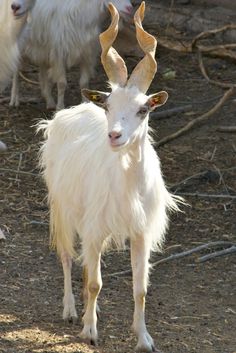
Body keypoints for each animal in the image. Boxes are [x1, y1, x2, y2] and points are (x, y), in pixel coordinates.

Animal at [38, 2, 180, 350]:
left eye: (144, 108)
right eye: (108, 104)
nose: (114, 136)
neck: (128, 187)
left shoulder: (141, 232)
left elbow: (140, 288)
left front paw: (143, 338)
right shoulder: (94, 227)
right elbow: (95, 282)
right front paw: (90, 331)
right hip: (62, 208)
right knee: (67, 256)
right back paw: (71, 311)